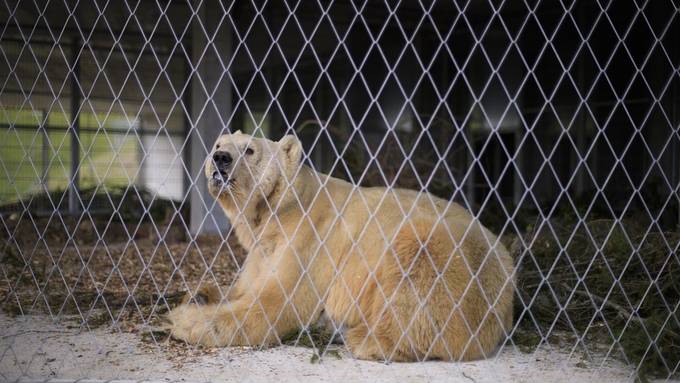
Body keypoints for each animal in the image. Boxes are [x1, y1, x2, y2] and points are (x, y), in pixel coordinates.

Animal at [167, 130, 512, 362]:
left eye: (249, 149)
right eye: (218, 144)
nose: (221, 159)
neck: (280, 209)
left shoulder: (308, 238)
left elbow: (276, 301)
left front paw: (183, 320)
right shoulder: (263, 247)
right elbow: (245, 286)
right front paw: (199, 295)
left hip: (449, 256)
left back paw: (363, 338)